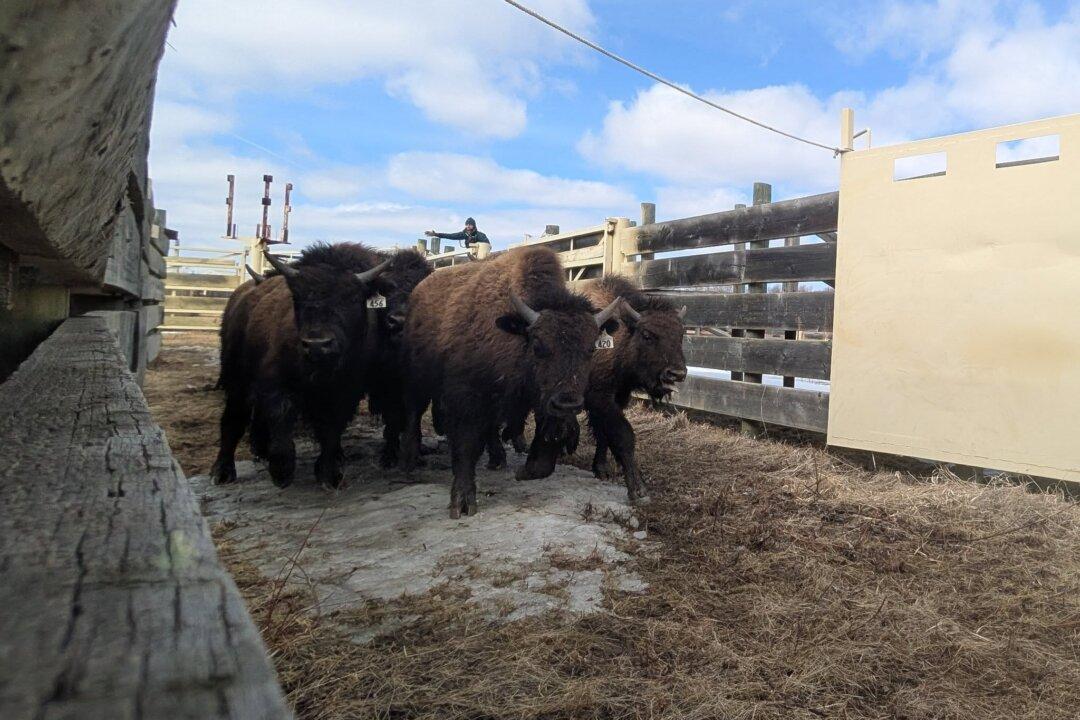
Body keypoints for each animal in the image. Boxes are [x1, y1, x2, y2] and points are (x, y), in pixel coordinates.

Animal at [398, 245, 622, 518]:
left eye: (591, 348)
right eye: (538, 345)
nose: (568, 403)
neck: (517, 336)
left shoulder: (539, 400)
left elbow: (544, 448)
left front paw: (525, 470)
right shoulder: (467, 397)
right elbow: (465, 444)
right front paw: (462, 502)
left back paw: (497, 459)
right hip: (415, 378)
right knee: (413, 412)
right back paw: (409, 460)